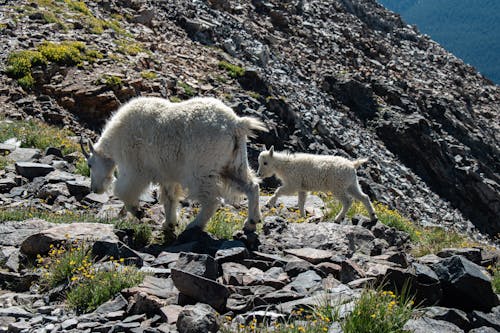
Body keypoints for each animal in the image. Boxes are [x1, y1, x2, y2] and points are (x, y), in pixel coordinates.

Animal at [79, 96, 266, 239]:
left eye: (89, 164)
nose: (94, 188)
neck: (115, 138)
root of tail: (236, 124)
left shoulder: (135, 165)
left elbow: (124, 190)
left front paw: (138, 212)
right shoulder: (167, 172)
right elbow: (169, 197)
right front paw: (168, 224)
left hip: (202, 164)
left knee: (212, 199)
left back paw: (194, 225)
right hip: (233, 161)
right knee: (251, 185)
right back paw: (251, 222)